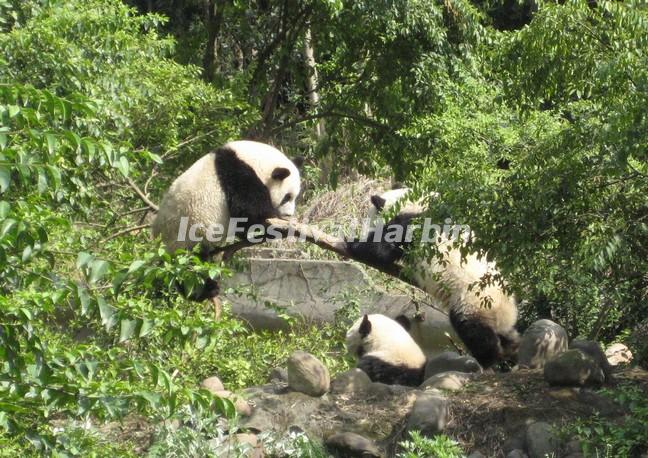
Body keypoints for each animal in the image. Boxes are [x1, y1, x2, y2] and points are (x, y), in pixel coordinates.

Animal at [152, 140, 302, 302]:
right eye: (287, 197)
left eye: (294, 196)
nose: (288, 214)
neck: (254, 160)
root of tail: (159, 247)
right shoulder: (236, 175)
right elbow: (249, 210)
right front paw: (274, 223)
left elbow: (243, 221)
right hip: (185, 237)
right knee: (191, 270)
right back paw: (205, 291)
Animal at [347, 189, 519, 369]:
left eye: (369, 219)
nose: (362, 230)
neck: (415, 203)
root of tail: (503, 306)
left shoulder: (411, 225)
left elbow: (383, 249)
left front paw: (353, 243)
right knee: (508, 335)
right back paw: (511, 357)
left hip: (472, 300)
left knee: (476, 333)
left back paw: (487, 362)